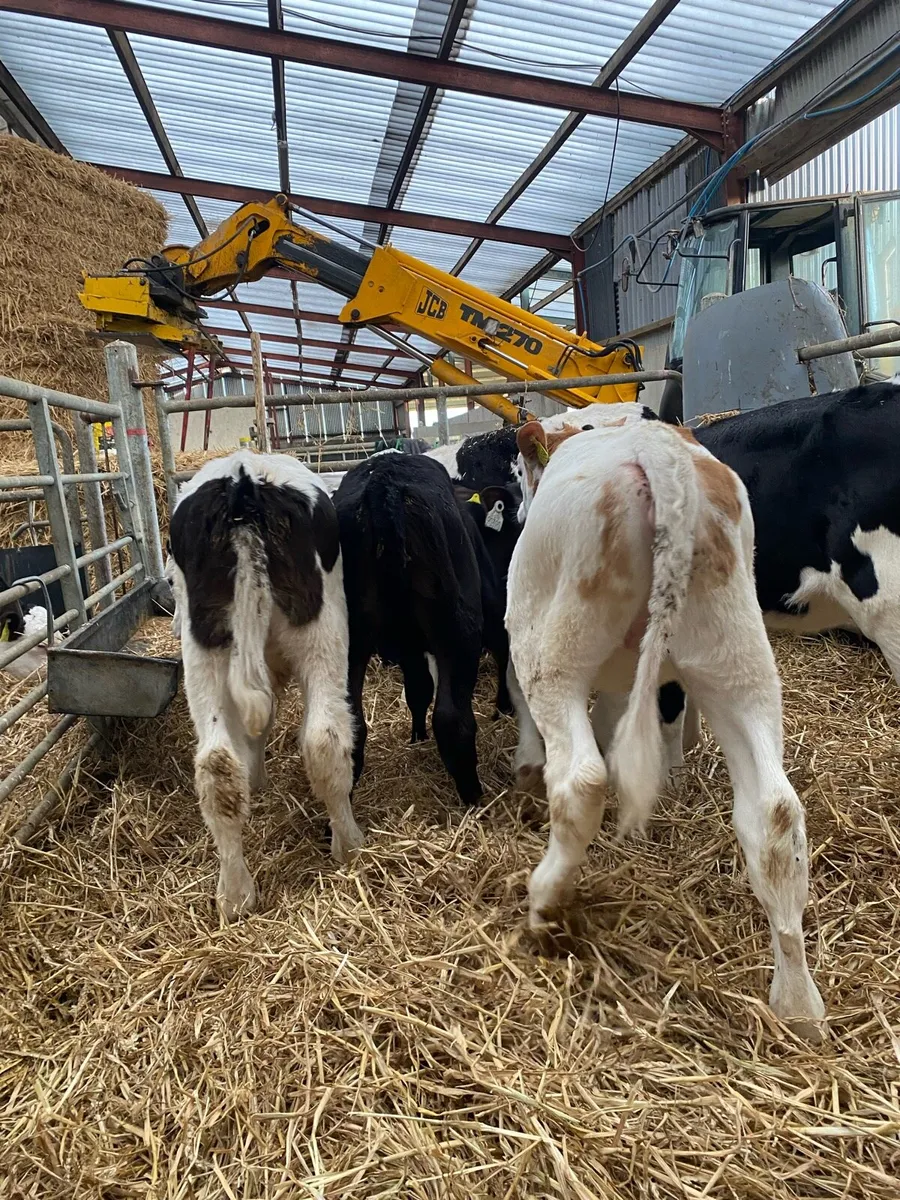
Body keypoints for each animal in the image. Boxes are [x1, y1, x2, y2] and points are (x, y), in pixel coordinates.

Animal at [168, 451, 363, 921]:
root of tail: (243, 486)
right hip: (322, 632)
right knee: (323, 739)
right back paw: (349, 846)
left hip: (204, 648)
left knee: (218, 763)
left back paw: (234, 895)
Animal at [333, 453, 486, 804]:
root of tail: (384, 481)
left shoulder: (407, 646)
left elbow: (418, 689)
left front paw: (417, 736)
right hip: (459, 629)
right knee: (453, 719)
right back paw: (474, 797)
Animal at [505, 416, 824, 1035]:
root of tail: (657, 455)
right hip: (736, 658)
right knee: (774, 816)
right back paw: (798, 1006)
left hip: (552, 649)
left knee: (581, 779)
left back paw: (544, 903)